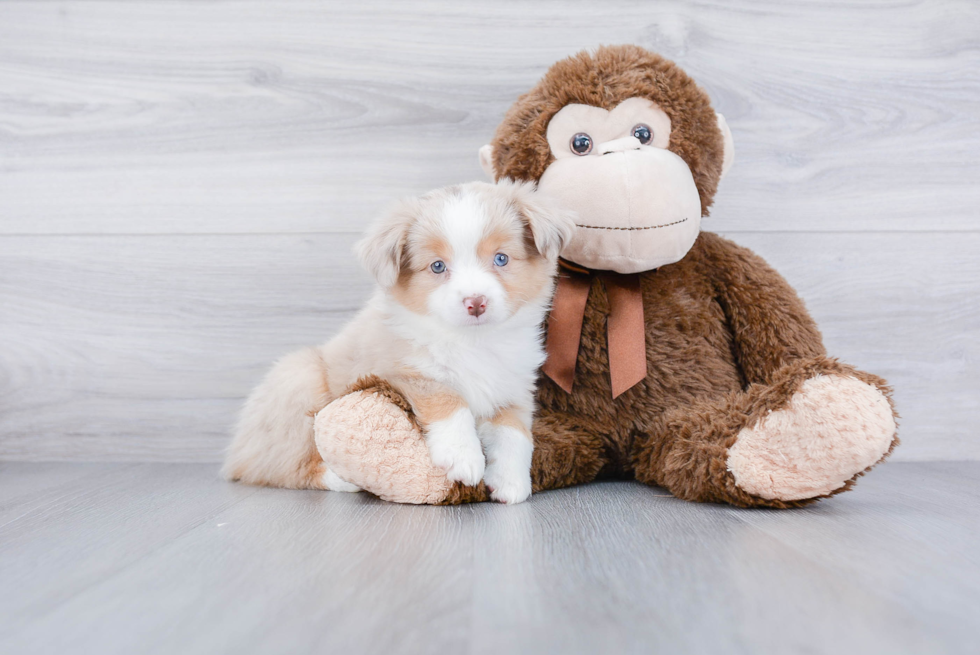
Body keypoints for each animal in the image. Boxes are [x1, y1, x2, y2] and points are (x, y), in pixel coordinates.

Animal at [220, 182, 576, 504]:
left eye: (501, 259)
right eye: (437, 266)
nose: (476, 303)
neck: (472, 341)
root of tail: (235, 450)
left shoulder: (513, 389)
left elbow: (516, 434)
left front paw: (511, 482)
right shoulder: (406, 371)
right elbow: (450, 401)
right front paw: (464, 457)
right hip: (298, 381)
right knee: (279, 467)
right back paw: (342, 479)